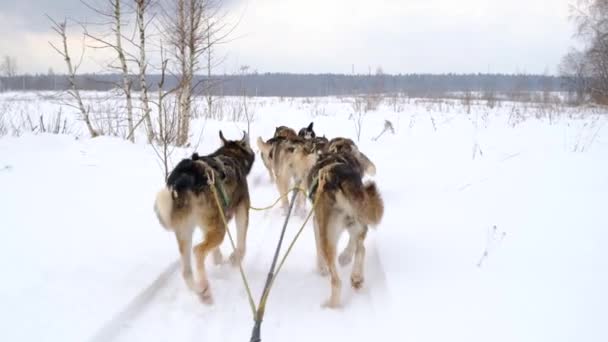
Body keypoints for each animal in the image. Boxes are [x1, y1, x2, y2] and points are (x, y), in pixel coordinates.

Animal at [156, 130, 255, 304]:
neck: (231, 154)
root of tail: (185, 177)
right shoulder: (242, 208)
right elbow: (242, 242)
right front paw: (235, 259)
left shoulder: (211, 224)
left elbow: (214, 250)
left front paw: (218, 258)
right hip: (218, 229)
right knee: (197, 251)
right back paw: (203, 285)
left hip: (185, 231)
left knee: (186, 271)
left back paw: (202, 292)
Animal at [306, 138, 382, 308]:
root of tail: (337, 177)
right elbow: (355, 245)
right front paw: (346, 257)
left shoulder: (316, 222)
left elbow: (318, 249)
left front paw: (321, 268)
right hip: (359, 220)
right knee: (361, 249)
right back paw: (356, 277)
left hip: (327, 236)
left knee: (336, 282)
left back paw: (331, 306)